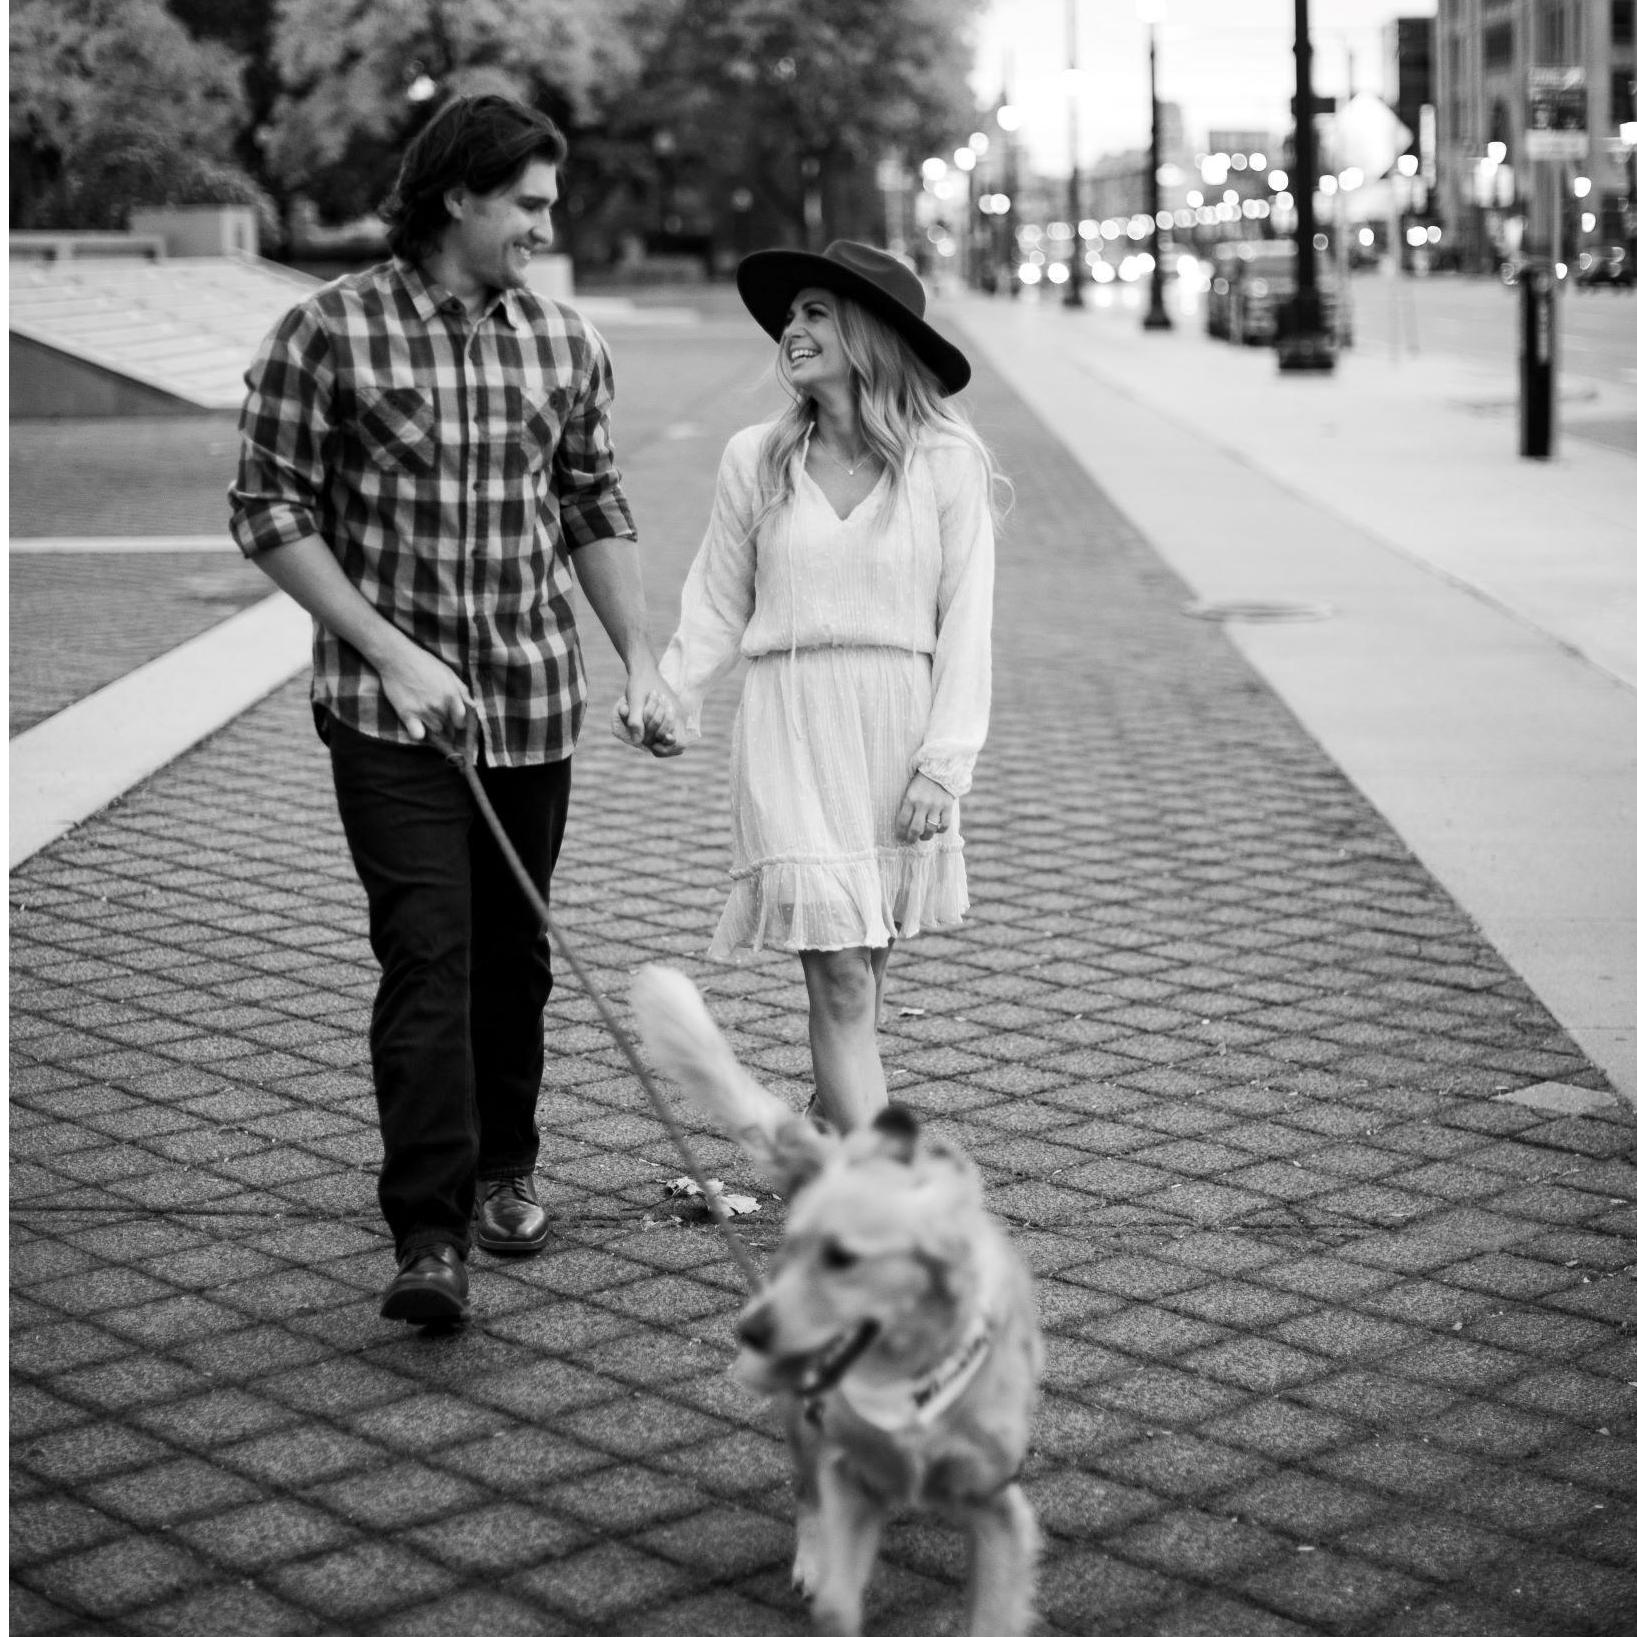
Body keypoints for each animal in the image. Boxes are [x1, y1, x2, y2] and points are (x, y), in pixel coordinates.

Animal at [630, 965, 1042, 1637]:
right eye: (795, 1250)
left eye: (845, 1259)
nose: (751, 1332)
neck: (910, 1386)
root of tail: (839, 1157)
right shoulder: (851, 1479)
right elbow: (838, 1596)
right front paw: (825, 1576)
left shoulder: (998, 1508)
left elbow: (993, 1612)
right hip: (802, 1421)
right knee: (807, 1494)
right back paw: (811, 1558)